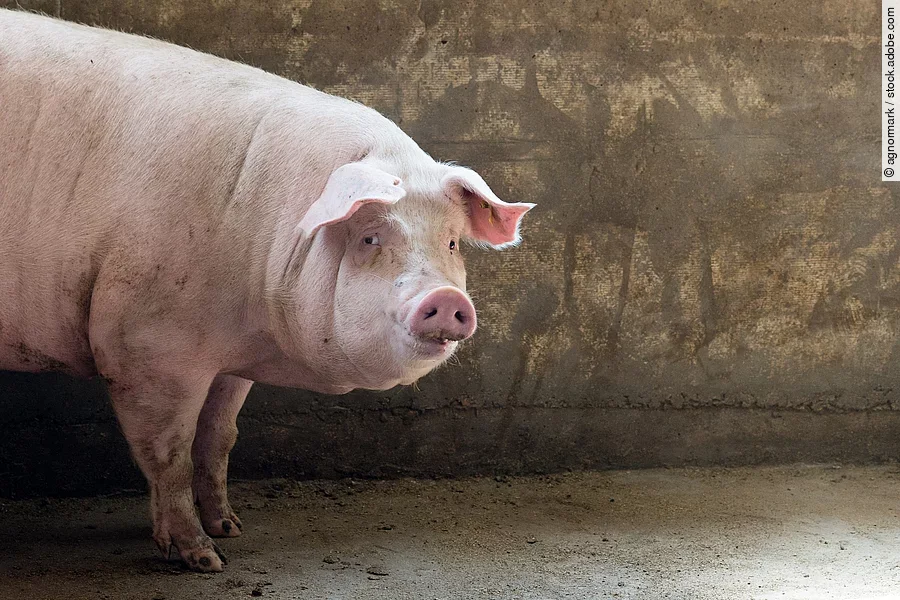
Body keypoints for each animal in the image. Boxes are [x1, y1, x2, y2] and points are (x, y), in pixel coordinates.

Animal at [0, 9, 533, 572]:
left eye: (451, 242)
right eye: (369, 237)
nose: (447, 299)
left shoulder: (229, 358)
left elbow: (219, 438)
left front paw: (232, 528)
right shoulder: (142, 344)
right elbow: (169, 452)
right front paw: (205, 559)